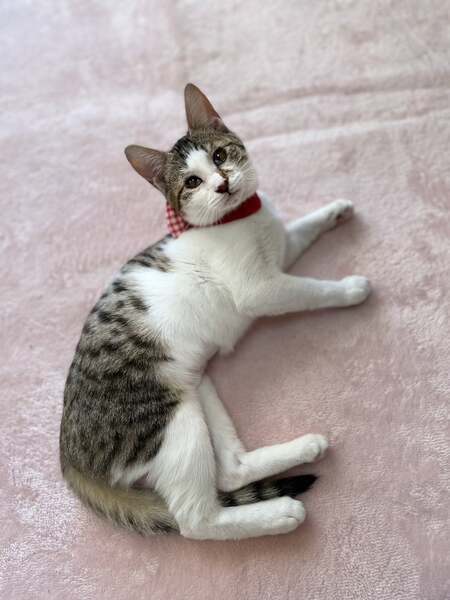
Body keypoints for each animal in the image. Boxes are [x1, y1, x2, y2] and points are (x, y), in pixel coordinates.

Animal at [59, 83, 371, 540]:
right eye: (192, 182)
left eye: (220, 156)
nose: (222, 185)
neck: (240, 217)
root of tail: (67, 456)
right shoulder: (261, 289)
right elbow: (310, 290)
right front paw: (349, 289)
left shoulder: (280, 251)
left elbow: (302, 228)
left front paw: (334, 210)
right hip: (171, 425)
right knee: (195, 520)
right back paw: (280, 515)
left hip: (197, 388)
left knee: (231, 471)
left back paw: (302, 449)